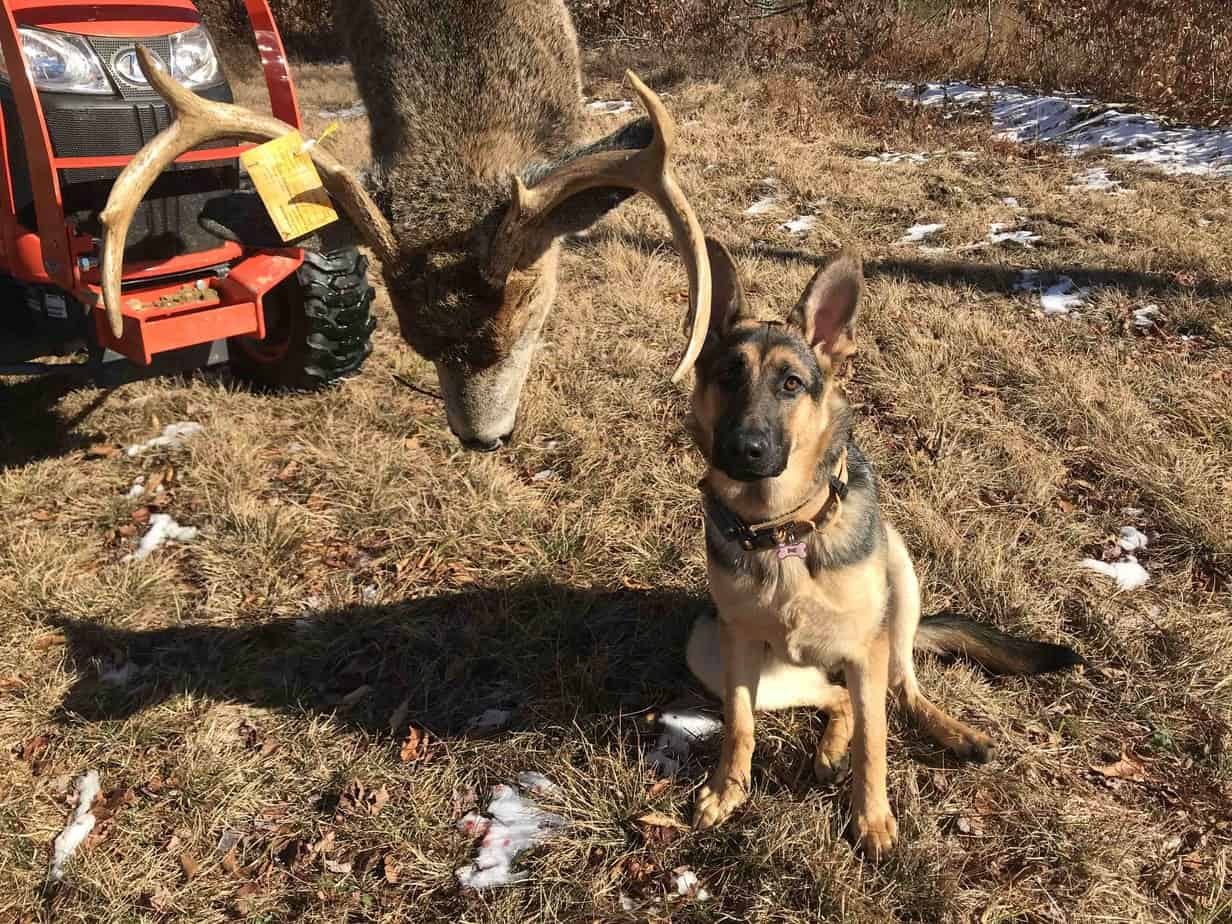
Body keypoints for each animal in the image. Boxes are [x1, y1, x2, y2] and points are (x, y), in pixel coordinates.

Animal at [689, 240, 1084, 862]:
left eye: (791, 384)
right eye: (729, 375)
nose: (743, 450)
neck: (783, 532)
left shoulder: (866, 649)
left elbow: (875, 742)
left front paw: (871, 819)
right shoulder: (736, 640)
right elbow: (740, 724)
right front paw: (728, 790)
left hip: (899, 583)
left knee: (900, 689)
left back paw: (952, 733)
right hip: (709, 647)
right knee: (835, 698)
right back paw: (829, 749)